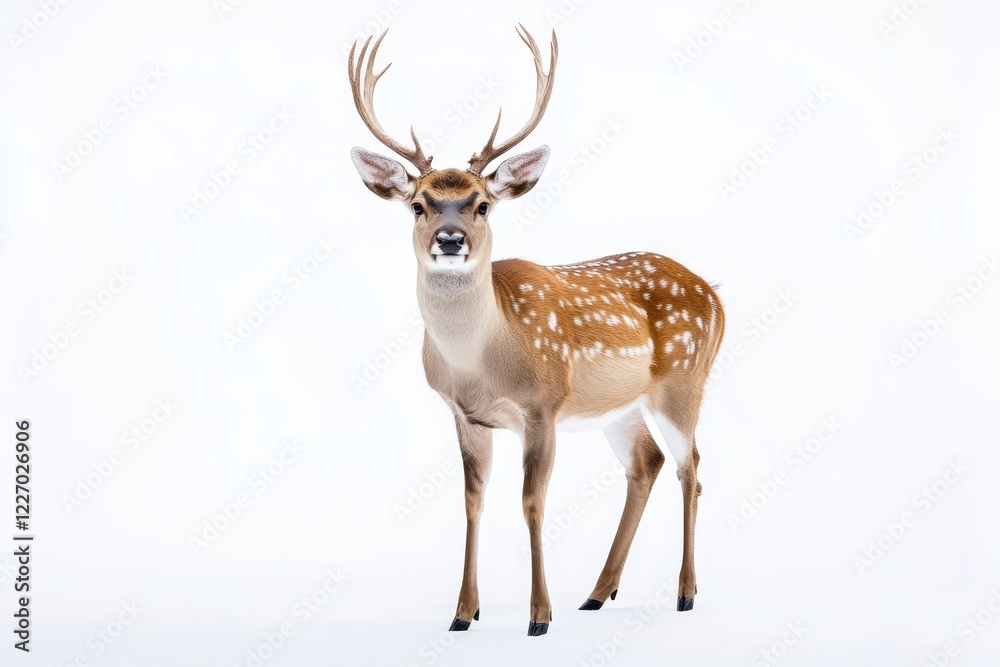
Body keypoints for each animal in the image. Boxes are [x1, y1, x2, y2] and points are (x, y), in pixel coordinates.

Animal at [347, 25, 725, 637]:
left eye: (481, 204)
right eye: (418, 205)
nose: (449, 239)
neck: (481, 362)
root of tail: (715, 293)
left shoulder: (543, 404)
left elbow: (532, 502)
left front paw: (539, 616)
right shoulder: (464, 414)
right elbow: (473, 501)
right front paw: (463, 613)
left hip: (684, 380)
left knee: (690, 467)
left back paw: (685, 593)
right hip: (618, 405)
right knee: (646, 463)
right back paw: (597, 593)